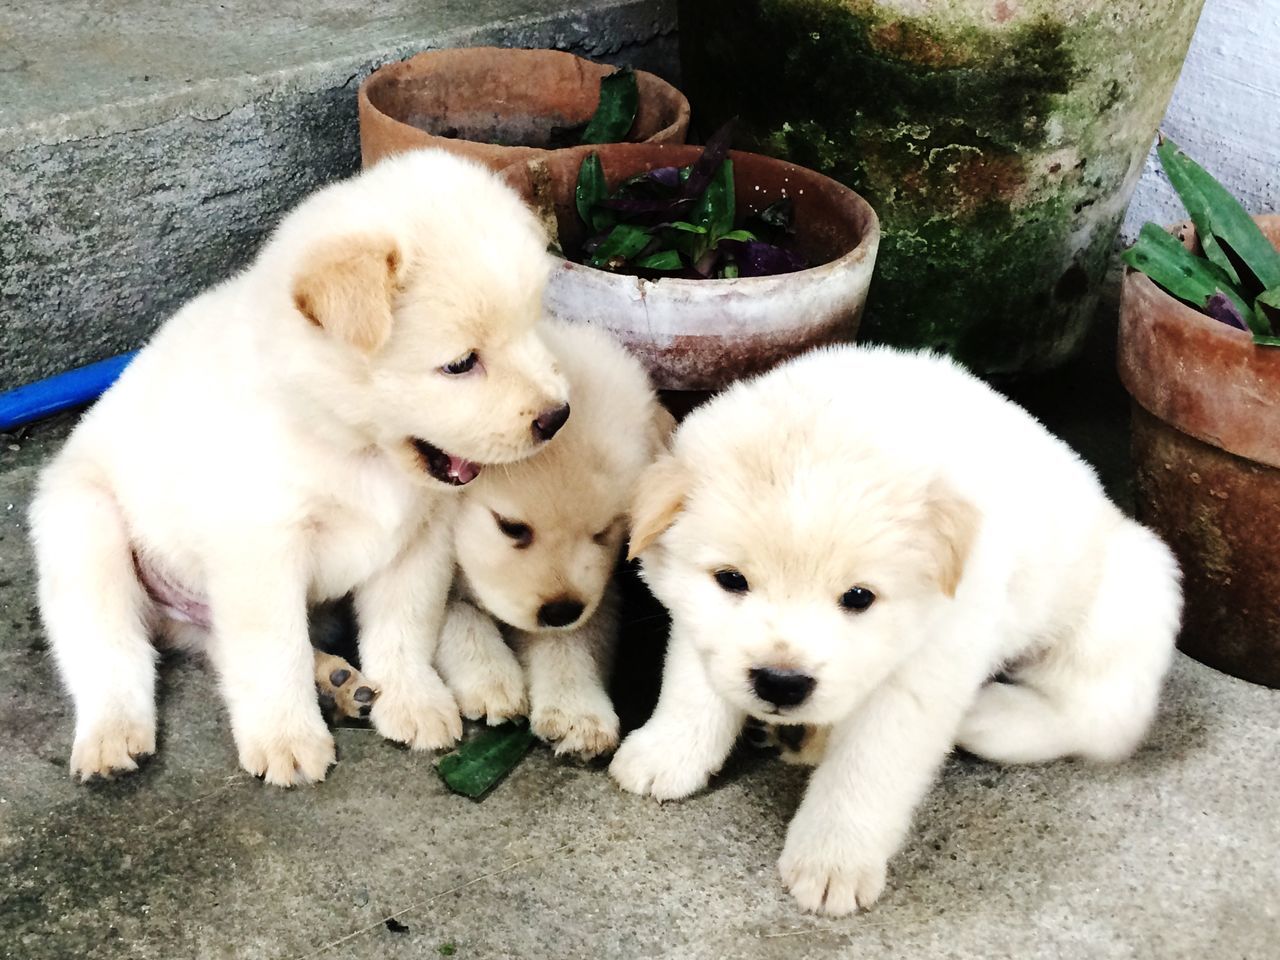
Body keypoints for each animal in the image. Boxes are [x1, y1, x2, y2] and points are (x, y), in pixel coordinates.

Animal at [28, 148, 570, 788]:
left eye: (532, 328)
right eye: (461, 364)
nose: (558, 417)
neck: (353, 447)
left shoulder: (419, 542)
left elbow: (403, 628)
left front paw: (411, 700)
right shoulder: (261, 550)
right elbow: (272, 650)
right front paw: (286, 737)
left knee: (215, 643)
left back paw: (336, 681)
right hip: (87, 532)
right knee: (112, 652)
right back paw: (112, 736)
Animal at [432, 323, 670, 757]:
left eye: (604, 530)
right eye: (511, 528)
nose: (560, 611)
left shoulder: (598, 590)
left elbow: (571, 643)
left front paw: (577, 711)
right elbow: (457, 616)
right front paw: (491, 678)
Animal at [609, 343, 1177, 916]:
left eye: (859, 597)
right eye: (731, 580)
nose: (781, 684)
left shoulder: (923, 671)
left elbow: (864, 770)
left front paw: (831, 862)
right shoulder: (695, 618)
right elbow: (692, 687)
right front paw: (666, 754)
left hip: (1129, 596)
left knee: (1101, 717)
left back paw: (985, 716)